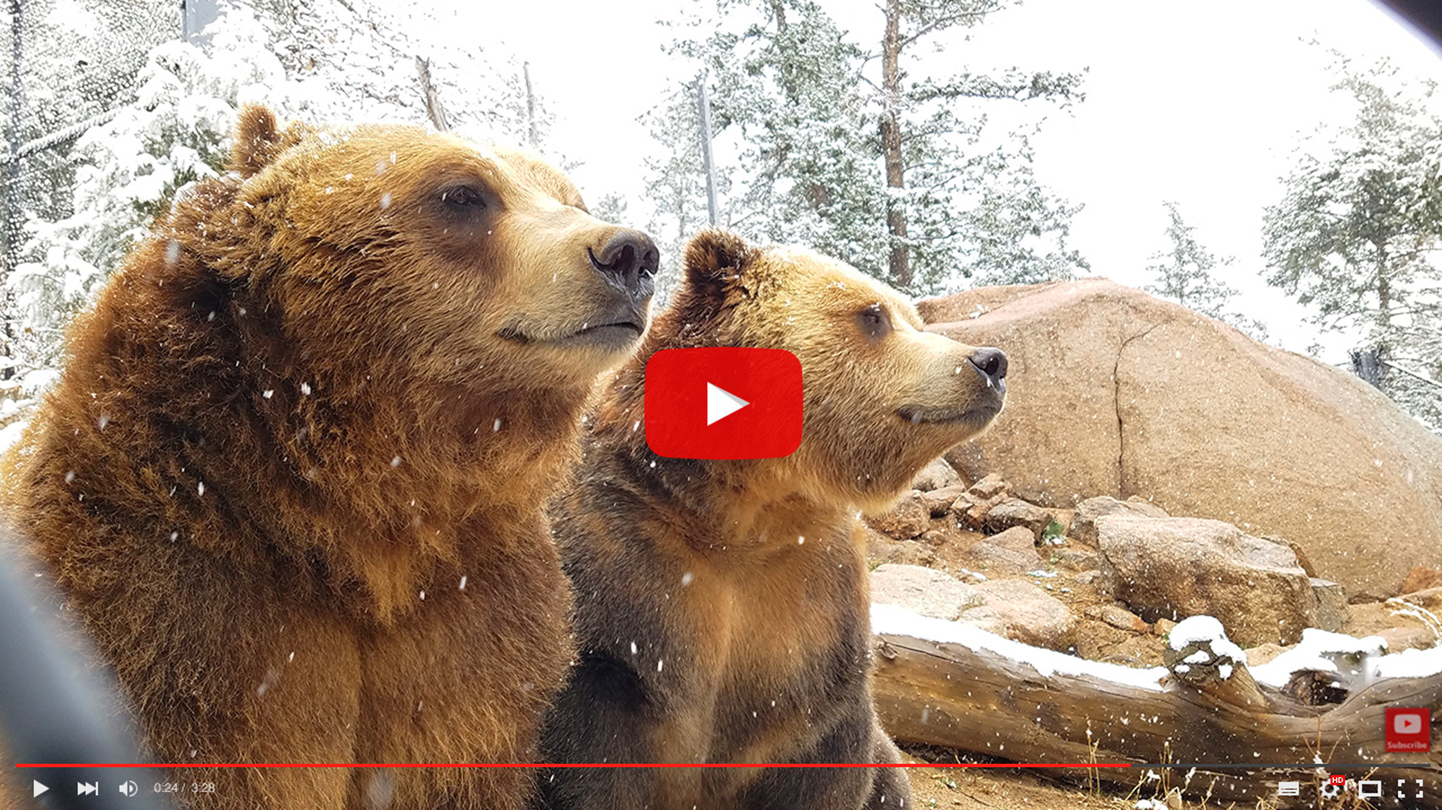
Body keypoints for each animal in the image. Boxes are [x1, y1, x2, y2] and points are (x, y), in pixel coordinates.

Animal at [539, 230, 1007, 809]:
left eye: (913, 318)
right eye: (873, 316)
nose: (990, 360)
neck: (746, 512)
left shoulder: (811, 603)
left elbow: (821, 759)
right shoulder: (623, 562)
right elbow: (593, 751)